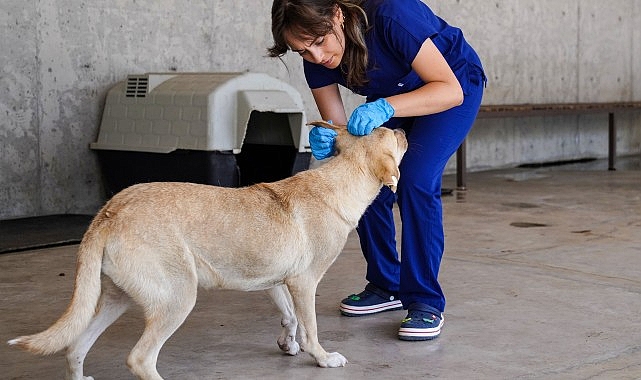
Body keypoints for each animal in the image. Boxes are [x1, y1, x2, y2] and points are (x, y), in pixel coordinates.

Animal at [7, 123, 408, 378]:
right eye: (390, 132)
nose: (405, 130)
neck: (337, 182)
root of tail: (110, 211)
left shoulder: (277, 282)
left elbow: (290, 317)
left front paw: (287, 343)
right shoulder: (305, 283)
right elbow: (309, 327)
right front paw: (321, 358)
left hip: (115, 299)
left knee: (75, 348)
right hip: (178, 299)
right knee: (140, 359)